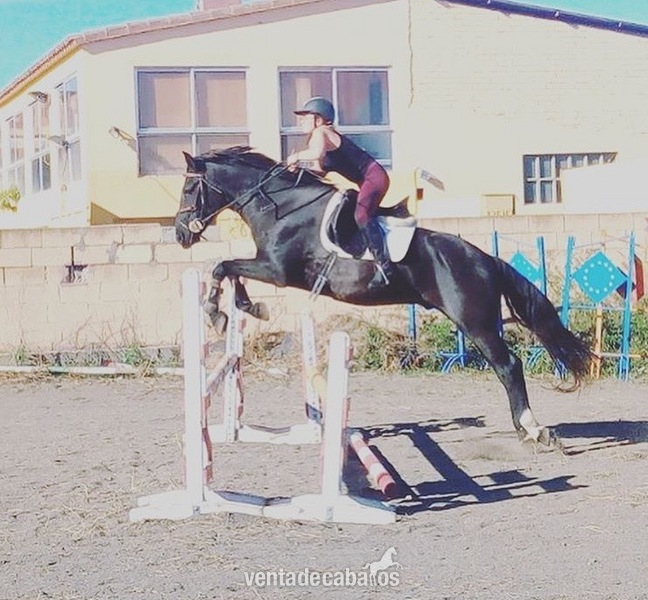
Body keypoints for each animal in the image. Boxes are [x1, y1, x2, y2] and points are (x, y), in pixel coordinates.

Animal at [175, 146, 591, 447]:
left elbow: (223, 266)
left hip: (476, 322)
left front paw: (219, 310)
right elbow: (227, 268)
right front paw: (241, 307)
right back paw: (524, 429)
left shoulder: (277, 269)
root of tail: (485, 258)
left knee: (509, 366)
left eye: (188, 189)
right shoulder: (269, 267)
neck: (281, 206)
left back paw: (533, 429)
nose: (180, 234)